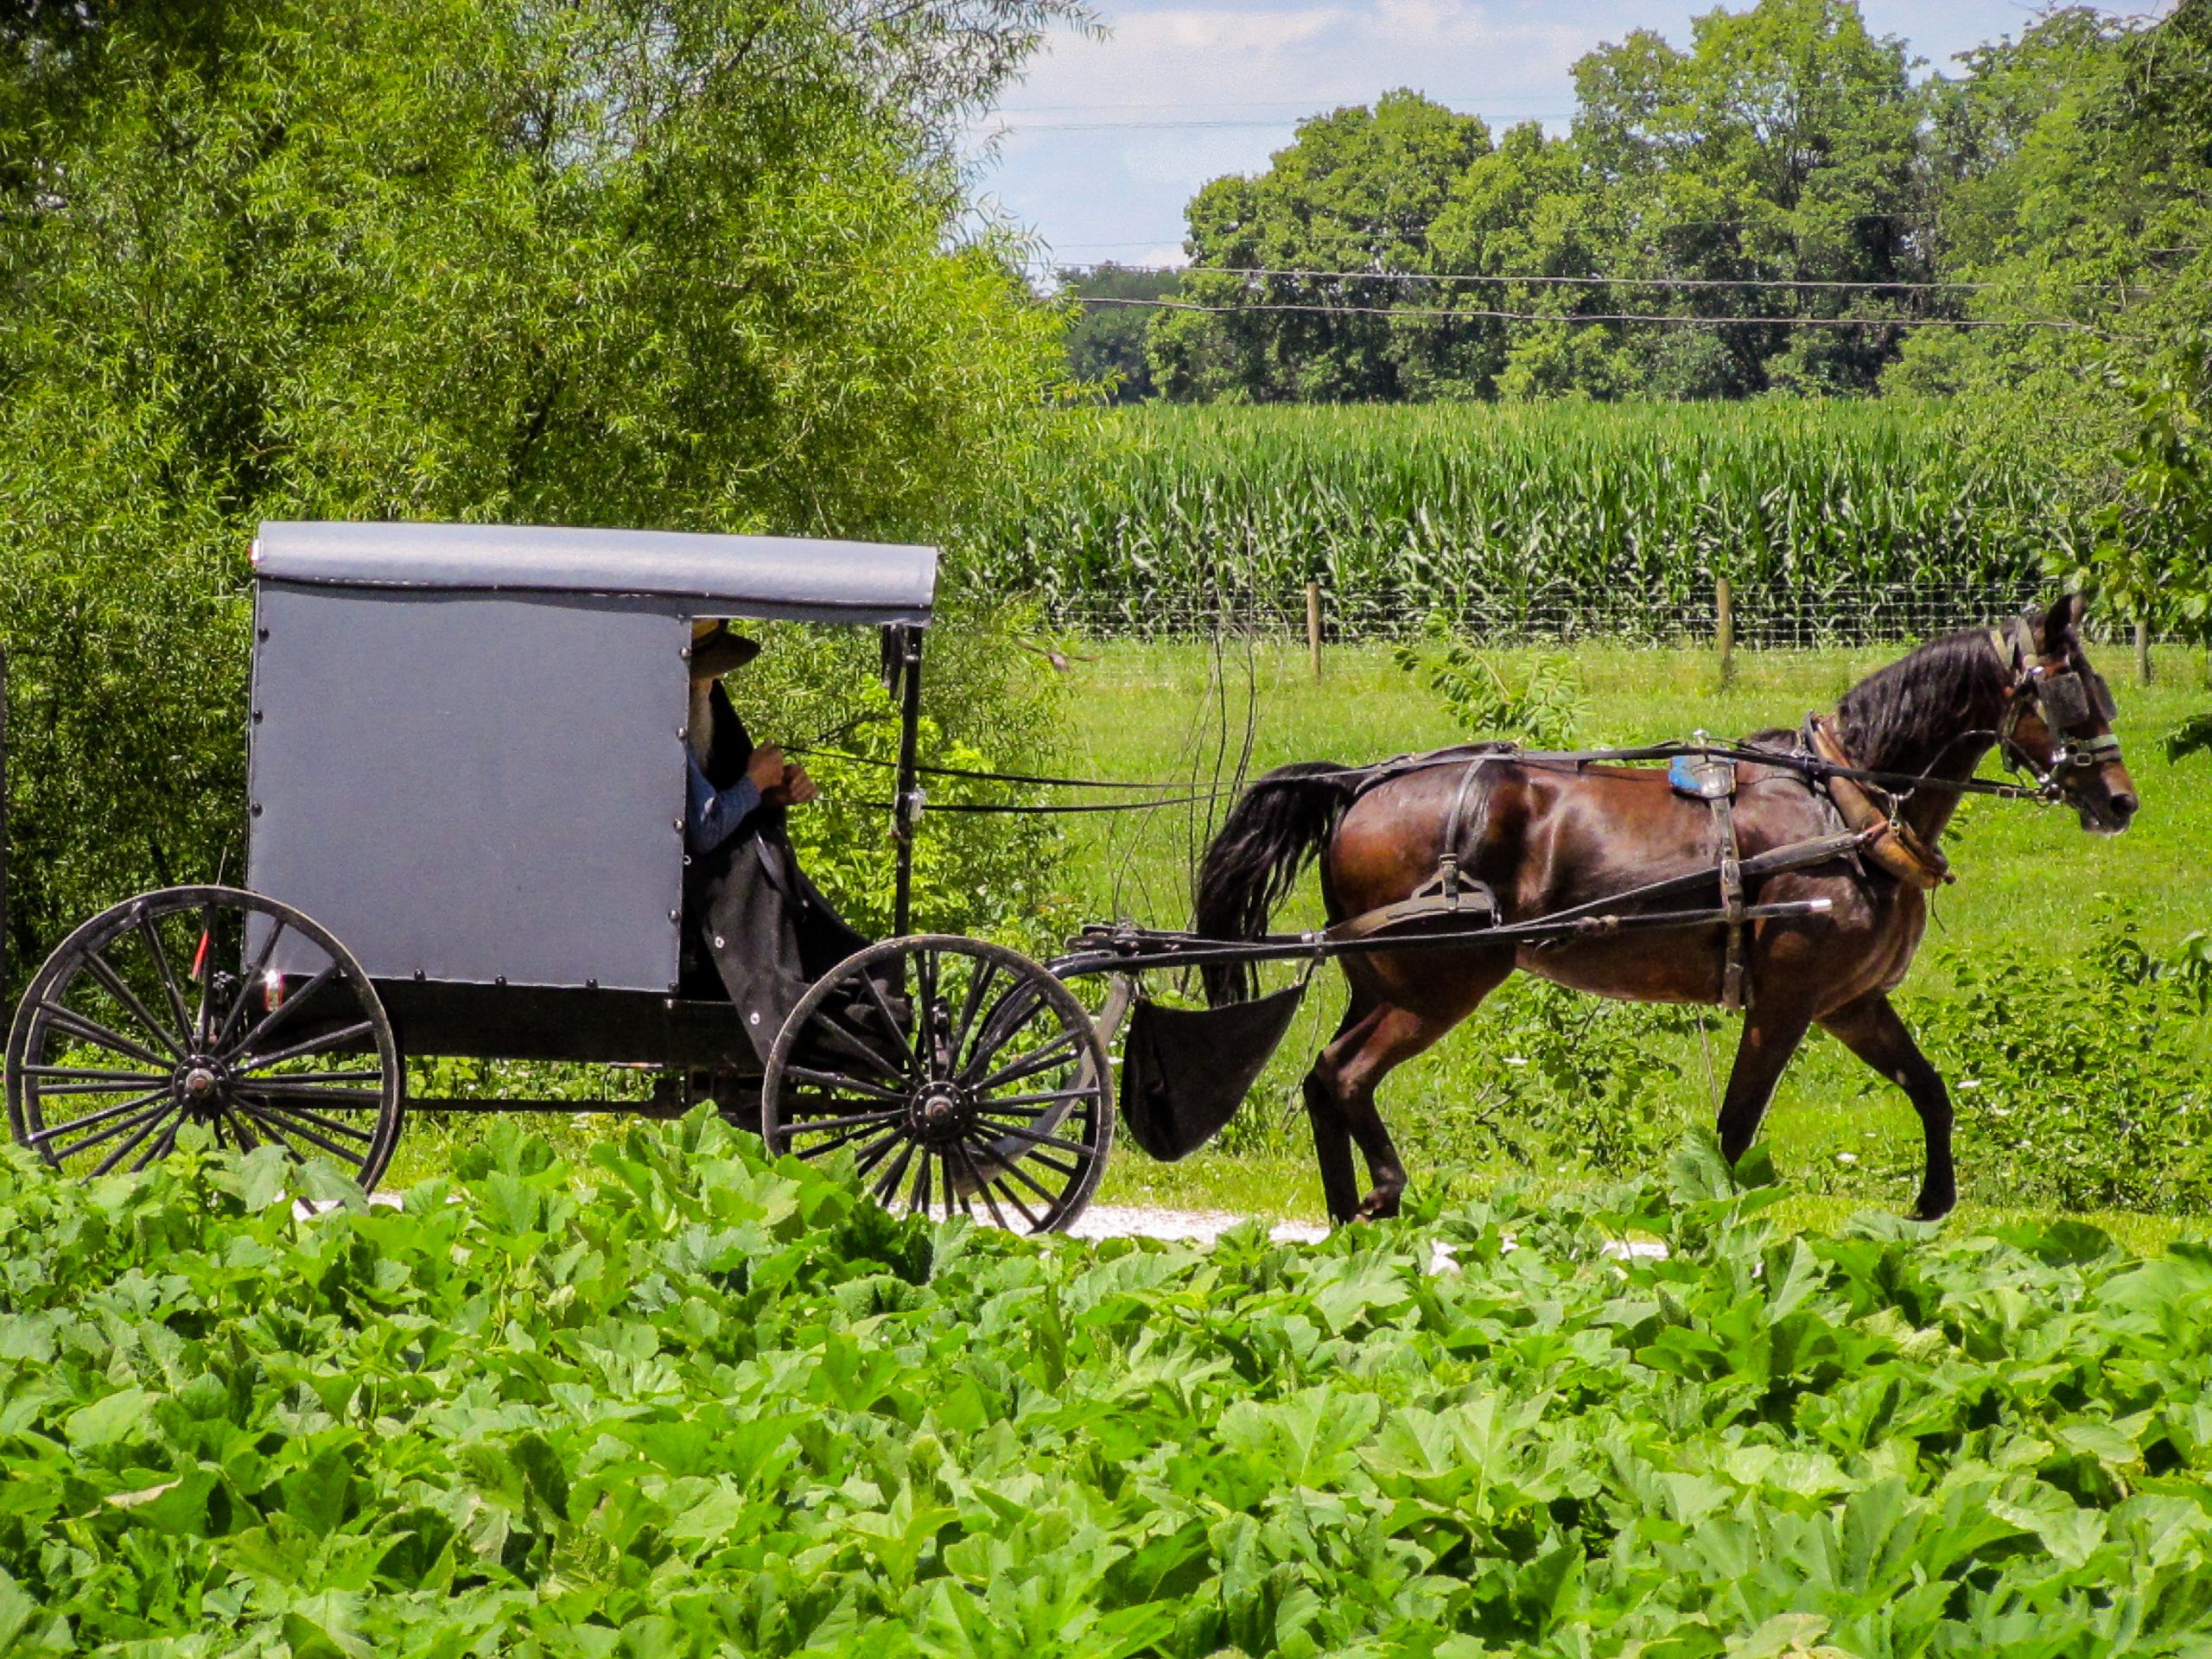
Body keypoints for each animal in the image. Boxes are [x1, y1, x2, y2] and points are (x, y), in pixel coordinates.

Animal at [1203, 606, 2132, 1230]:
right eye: (2073, 696)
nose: (2121, 802)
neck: (1844, 803)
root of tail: (1362, 783)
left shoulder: (1851, 1005)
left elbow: (1931, 1090)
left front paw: (1933, 1202)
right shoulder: (1786, 1004)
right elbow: (1734, 1128)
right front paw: (1707, 1220)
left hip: (1384, 982)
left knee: (1321, 1079)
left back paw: (1344, 1217)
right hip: (1438, 986)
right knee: (1346, 1075)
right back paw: (1382, 1193)